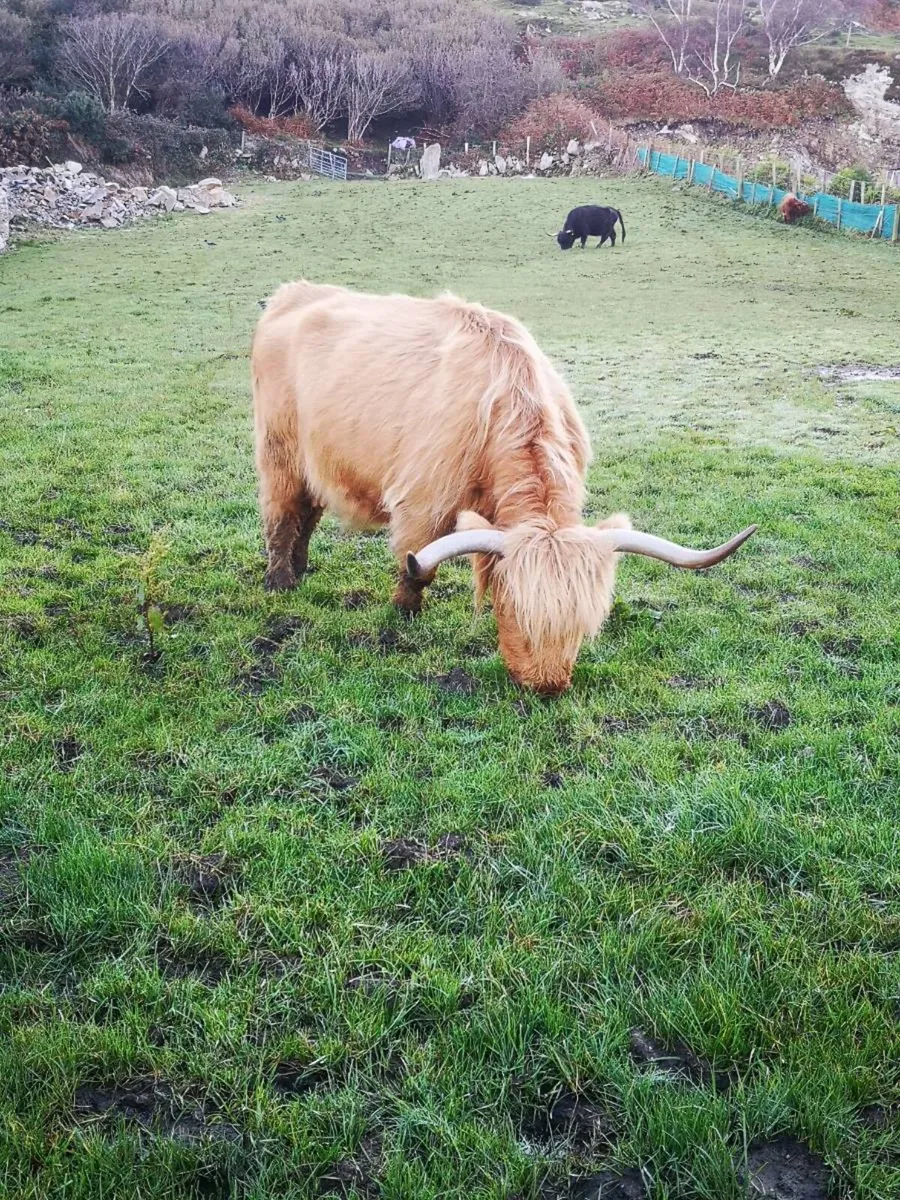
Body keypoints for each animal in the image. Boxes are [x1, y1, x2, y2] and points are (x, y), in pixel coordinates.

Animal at [252, 281, 755, 694]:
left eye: (583, 626)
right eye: (512, 609)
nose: (547, 687)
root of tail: (290, 293)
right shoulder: (422, 503)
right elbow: (417, 567)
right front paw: (402, 614)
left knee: (307, 513)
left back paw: (302, 568)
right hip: (279, 451)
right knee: (282, 515)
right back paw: (281, 583)